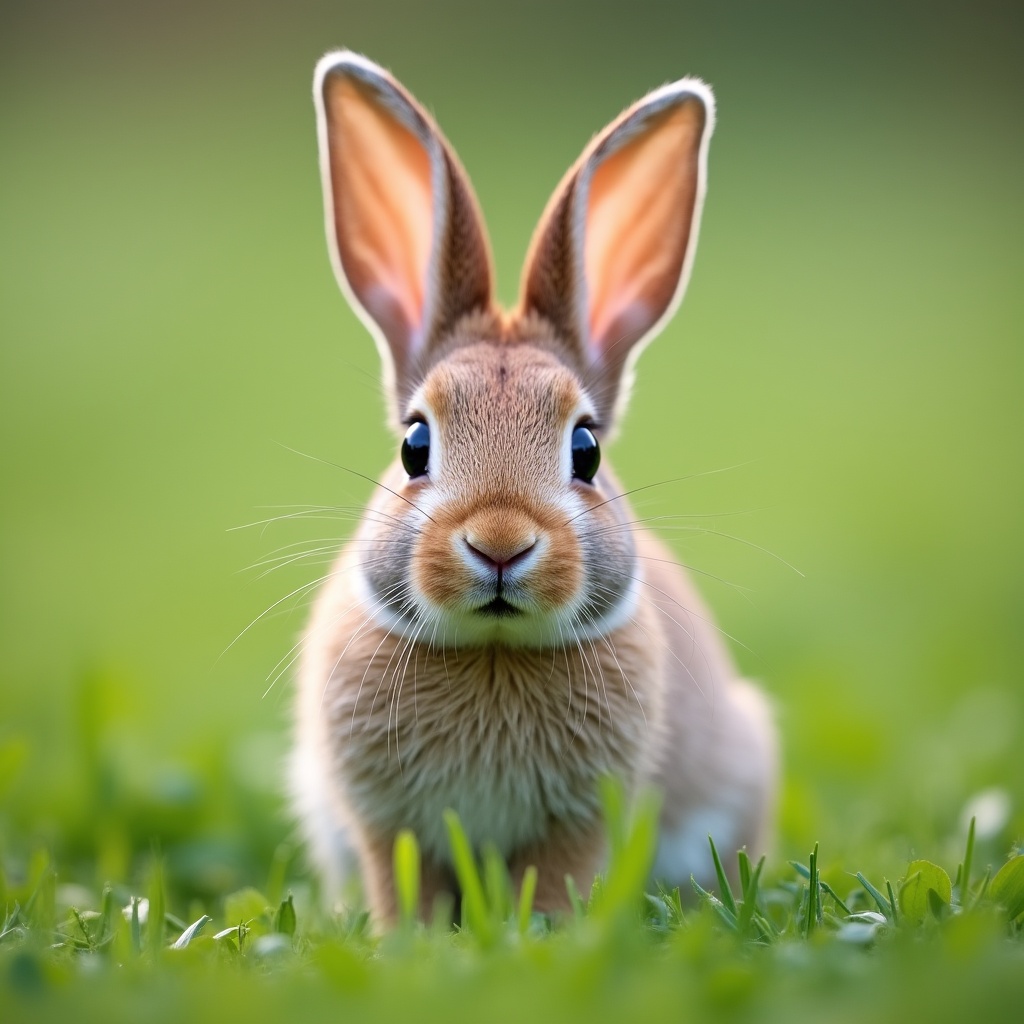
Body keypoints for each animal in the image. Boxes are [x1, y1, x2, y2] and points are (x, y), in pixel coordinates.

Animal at [291, 50, 777, 924]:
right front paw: (406, 939)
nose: (499, 544)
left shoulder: (579, 823)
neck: (494, 651)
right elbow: (403, 886)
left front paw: (541, 933)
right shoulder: (384, 825)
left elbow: (554, 884)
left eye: (585, 449)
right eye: (414, 444)